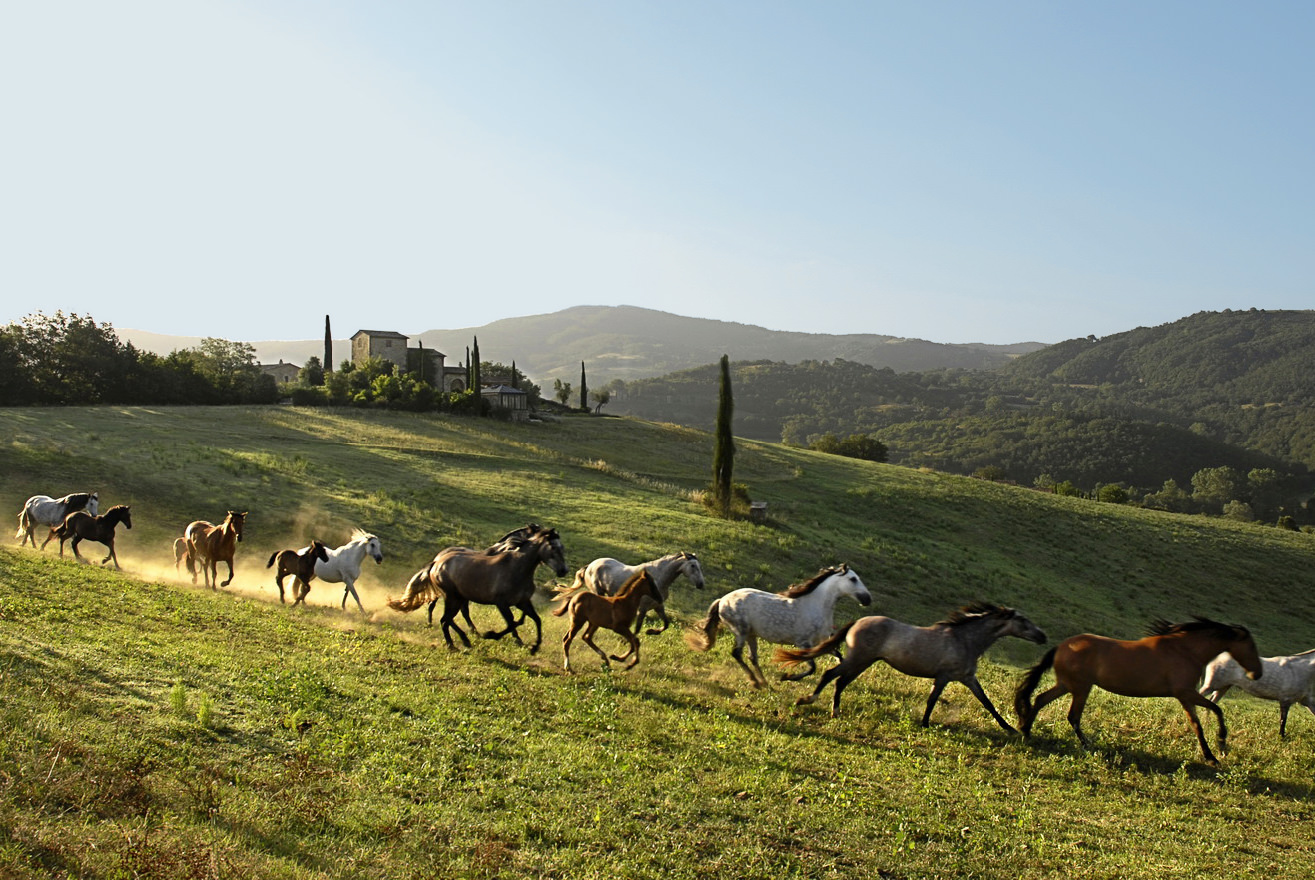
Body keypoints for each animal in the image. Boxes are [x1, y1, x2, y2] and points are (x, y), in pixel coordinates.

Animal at [386, 520, 568, 652]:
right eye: (553, 546)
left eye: (562, 547)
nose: (563, 570)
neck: (517, 568)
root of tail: (436, 562)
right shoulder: (502, 604)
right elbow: (512, 623)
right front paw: (495, 636)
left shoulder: (522, 602)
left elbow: (535, 620)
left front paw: (534, 646)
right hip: (452, 597)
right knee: (445, 618)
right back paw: (456, 642)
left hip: (458, 597)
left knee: (448, 617)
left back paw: (466, 639)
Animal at [570, 549, 704, 631]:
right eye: (693, 565)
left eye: (699, 566)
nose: (701, 584)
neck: (658, 578)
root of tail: (590, 566)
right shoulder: (642, 608)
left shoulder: (658, 606)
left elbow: (665, 625)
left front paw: (651, 631)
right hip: (598, 592)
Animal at [683, 565, 867, 689]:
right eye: (853, 579)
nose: (867, 598)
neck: (816, 605)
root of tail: (722, 600)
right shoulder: (803, 643)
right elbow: (811, 667)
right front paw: (786, 677)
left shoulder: (822, 642)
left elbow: (839, 658)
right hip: (741, 631)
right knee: (737, 653)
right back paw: (755, 682)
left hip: (751, 635)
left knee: (752, 657)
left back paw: (764, 683)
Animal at [778, 599, 1046, 731]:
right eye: (1023, 621)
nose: (1042, 636)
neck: (965, 640)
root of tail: (857, 621)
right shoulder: (944, 676)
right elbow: (932, 700)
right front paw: (925, 724)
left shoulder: (968, 678)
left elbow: (987, 703)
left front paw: (1009, 728)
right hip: (858, 658)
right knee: (830, 674)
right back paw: (807, 700)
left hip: (864, 661)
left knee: (841, 681)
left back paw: (835, 711)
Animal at [1015, 618, 1262, 762]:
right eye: (1251, 646)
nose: (1257, 674)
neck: (1185, 650)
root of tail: (1061, 646)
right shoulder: (1185, 693)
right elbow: (1207, 717)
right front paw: (1217, 749)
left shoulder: (1186, 696)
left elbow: (1203, 719)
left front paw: (1215, 751)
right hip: (1081, 688)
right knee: (1073, 716)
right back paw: (1088, 746)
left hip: (1066, 685)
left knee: (1040, 699)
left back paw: (1026, 730)